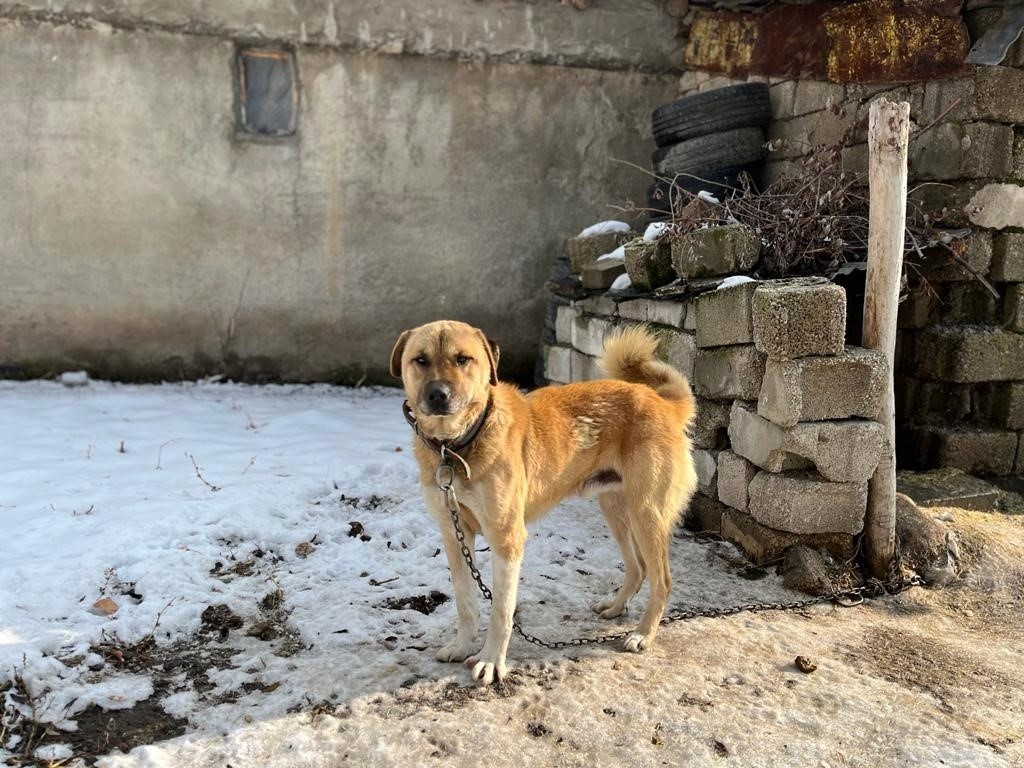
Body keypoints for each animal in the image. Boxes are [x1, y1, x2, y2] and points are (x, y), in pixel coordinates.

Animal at [389, 319, 696, 684]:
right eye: (420, 360)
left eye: (463, 359)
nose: (438, 395)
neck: (456, 445)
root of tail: (665, 403)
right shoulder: (454, 535)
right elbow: (465, 602)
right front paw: (462, 647)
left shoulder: (507, 539)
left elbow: (501, 609)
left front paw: (491, 661)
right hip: (616, 510)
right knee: (638, 568)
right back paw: (614, 608)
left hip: (646, 513)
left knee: (662, 579)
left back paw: (643, 634)